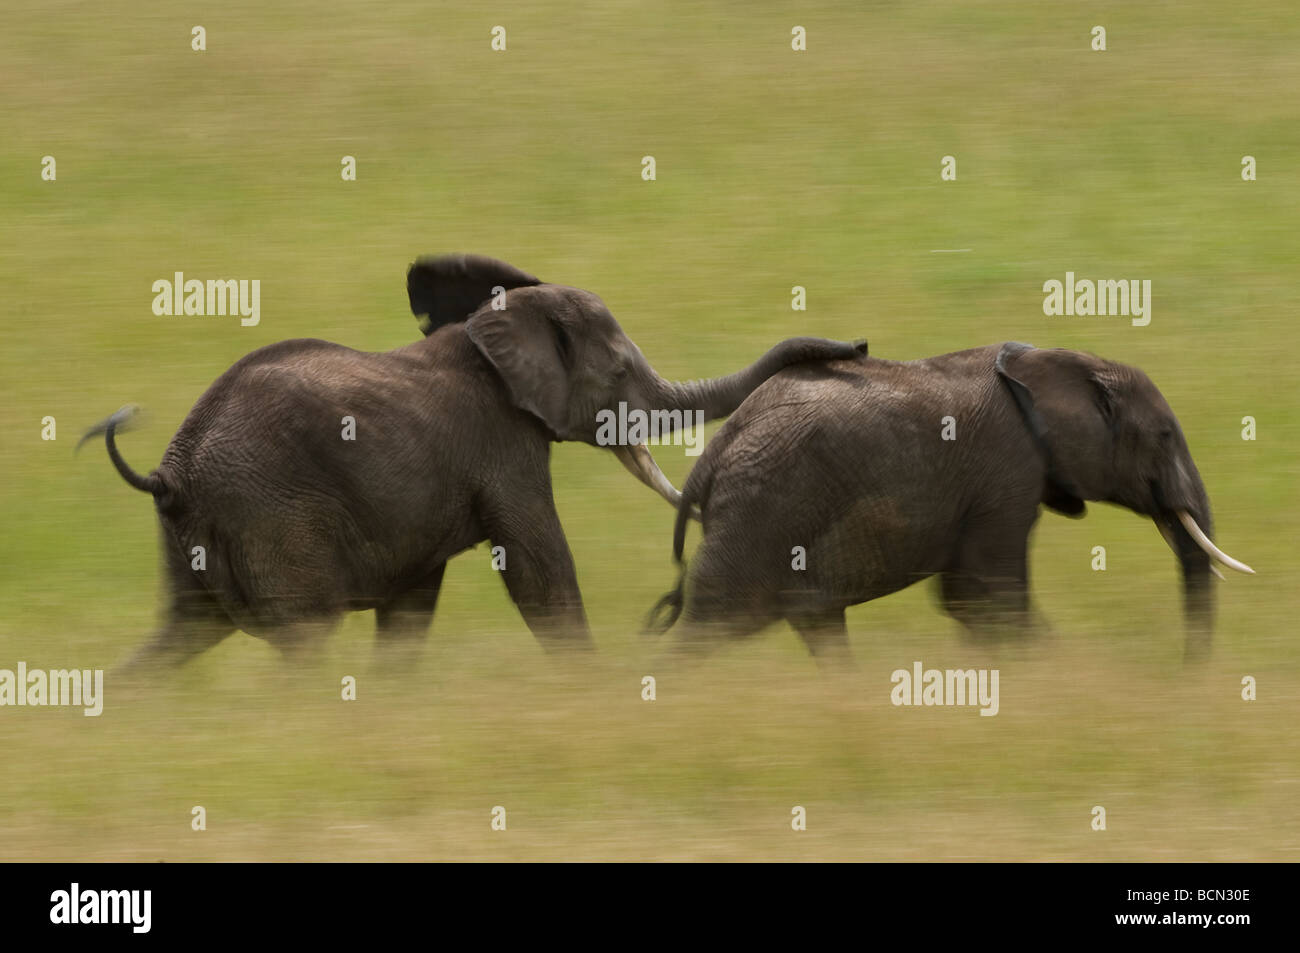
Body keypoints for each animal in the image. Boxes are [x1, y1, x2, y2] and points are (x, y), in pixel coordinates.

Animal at [86, 254, 868, 670]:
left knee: (178, 636)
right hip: (270, 514)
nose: (858, 345)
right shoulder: (504, 443)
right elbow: (539, 569)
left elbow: (411, 608)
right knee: (300, 643)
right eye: (618, 372)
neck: (501, 319)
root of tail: (172, 470)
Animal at [655, 340, 1253, 660]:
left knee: (813, 619)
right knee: (711, 625)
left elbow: (971, 600)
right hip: (763, 510)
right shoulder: (1007, 474)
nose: (1181, 676)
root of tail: (714, 453)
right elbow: (986, 595)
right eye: (1165, 437)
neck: (1052, 361)